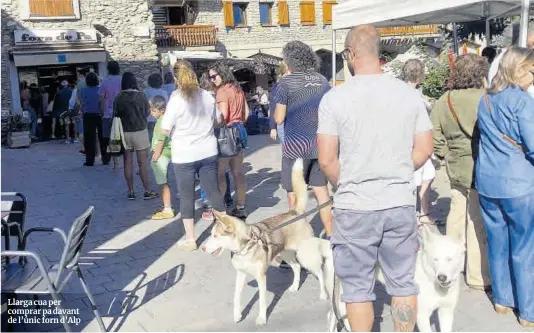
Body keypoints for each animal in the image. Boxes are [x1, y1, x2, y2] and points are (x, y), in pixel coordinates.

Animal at [328, 223, 466, 332]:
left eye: (449, 259)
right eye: (435, 259)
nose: (441, 277)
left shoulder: (446, 312)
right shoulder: (422, 315)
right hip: (342, 299)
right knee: (332, 317)